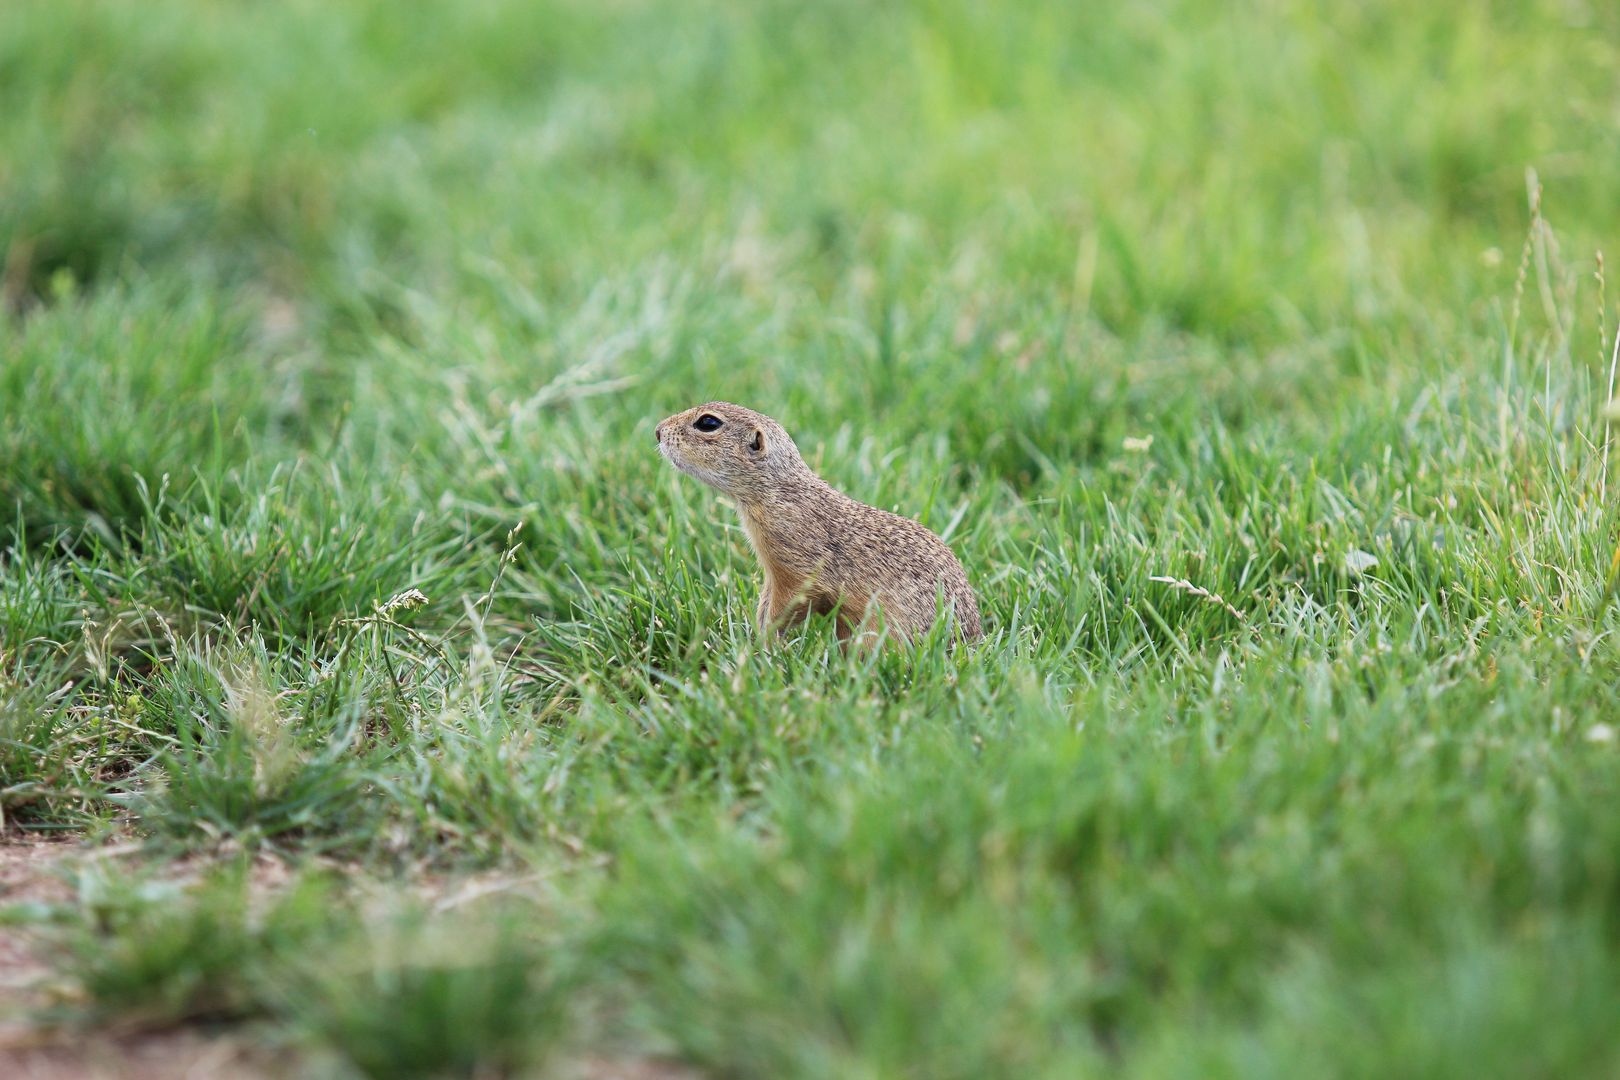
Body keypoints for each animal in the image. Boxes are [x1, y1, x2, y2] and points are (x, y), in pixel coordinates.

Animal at [654, 403, 978, 641]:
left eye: (708, 423)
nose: (658, 430)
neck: (779, 490)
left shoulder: (796, 562)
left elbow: (791, 600)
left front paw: (765, 643)